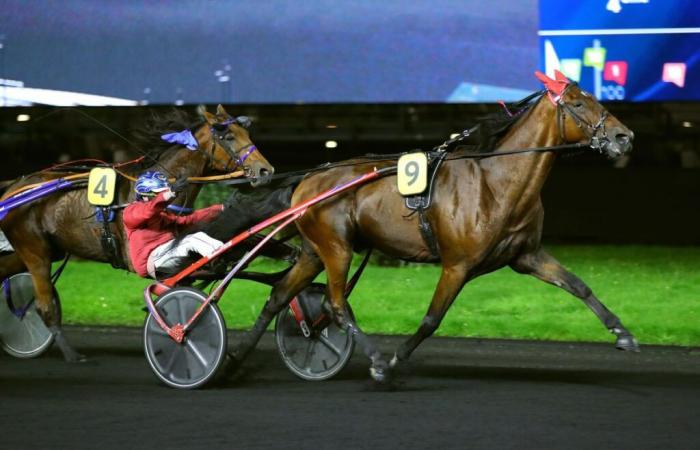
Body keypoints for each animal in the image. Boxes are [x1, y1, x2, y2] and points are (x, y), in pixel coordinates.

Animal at [0, 103, 274, 360]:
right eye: (228, 136)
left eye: (246, 133)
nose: (266, 170)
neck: (149, 190)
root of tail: (13, 188)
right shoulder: (149, 261)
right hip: (36, 252)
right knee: (45, 305)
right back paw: (73, 356)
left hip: (42, 250)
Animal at [227, 72, 636, 382]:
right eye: (579, 104)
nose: (624, 136)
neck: (497, 181)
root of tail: (309, 178)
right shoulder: (457, 265)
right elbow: (431, 320)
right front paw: (393, 360)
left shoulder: (527, 256)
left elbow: (580, 286)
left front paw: (623, 334)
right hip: (337, 249)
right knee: (335, 303)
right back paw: (375, 360)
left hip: (315, 251)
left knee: (280, 295)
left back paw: (239, 357)